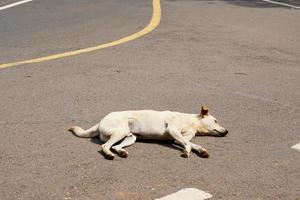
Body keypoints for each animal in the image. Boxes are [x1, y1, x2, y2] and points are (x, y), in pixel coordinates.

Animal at [68, 106, 227, 159]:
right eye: (216, 121)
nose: (227, 131)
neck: (191, 121)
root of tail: (101, 120)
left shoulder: (179, 138)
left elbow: (190, 144)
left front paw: (201, 150)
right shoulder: (173, 130)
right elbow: (187, 145)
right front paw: (187, 152)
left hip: (131, 137)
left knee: (115, 146)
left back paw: (121, 152)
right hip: (121, 131)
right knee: (105, 146)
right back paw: (109, 155)